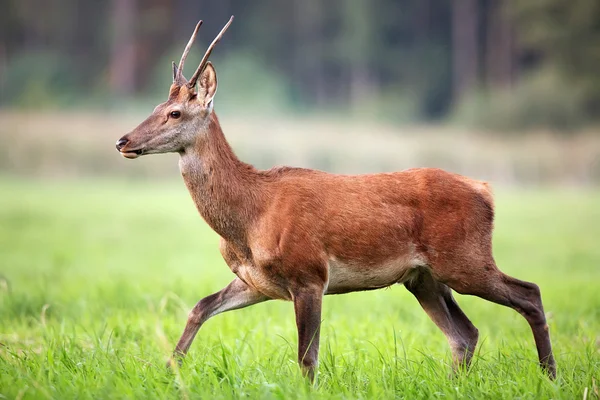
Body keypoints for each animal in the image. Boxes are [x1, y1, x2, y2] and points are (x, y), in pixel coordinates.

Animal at [115, 17, 556, 382]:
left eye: (175, 113)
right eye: (156, 105)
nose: (123, 140)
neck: (249, 218)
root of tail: (485, 190)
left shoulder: (309, 273)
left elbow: (306, 357)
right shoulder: (257, 282)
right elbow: (199, 307)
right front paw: (169, 372)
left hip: (463, 258)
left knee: (529, 293)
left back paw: (549, 376)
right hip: (423, 277)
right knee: (465, 333)